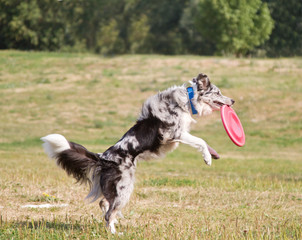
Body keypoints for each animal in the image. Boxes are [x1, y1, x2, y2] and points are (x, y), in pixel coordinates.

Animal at [40, 73, 234, 234]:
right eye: (217, 92)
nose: (232, 101)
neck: (187, 100)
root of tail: (103, 158)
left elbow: (204, 142)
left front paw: (213, 154)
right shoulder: (175, 134)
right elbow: (201, 140)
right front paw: (207, 158)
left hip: (117, 188)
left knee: (104, 203)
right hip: (125, 187)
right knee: (109, 212)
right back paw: (114, 233)